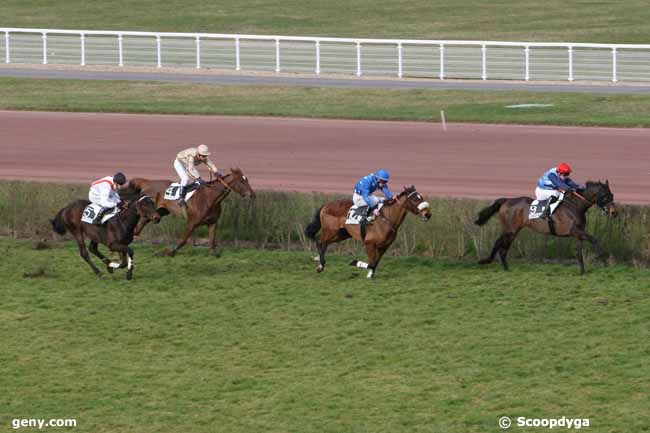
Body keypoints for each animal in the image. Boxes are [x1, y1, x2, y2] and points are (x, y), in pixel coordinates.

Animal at [125, 168, 254, 256]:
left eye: (247, 180)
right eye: (241, 181)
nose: (252, 194)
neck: (209, 199)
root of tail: (146, 182)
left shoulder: (212, 223)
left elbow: (212, 240)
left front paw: (214, 254)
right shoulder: (191, 222)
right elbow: (183, 240)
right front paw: (169, 252)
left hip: (159, 213)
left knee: (141, 226)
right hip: (149, 211)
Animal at [474, 179, 616, 274]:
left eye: (612, 195)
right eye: (604, 196)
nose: (613, 212)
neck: (575, 205)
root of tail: (506, 200)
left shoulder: (579, 233)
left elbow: (579, 252)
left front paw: (582, 271)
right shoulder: (574, 230)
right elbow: (594, 240)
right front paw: (604, 260)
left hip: (513, 230)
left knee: (502, 246)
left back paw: (505, 268)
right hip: (511, 229)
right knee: (500, 244)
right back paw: (490, 262)